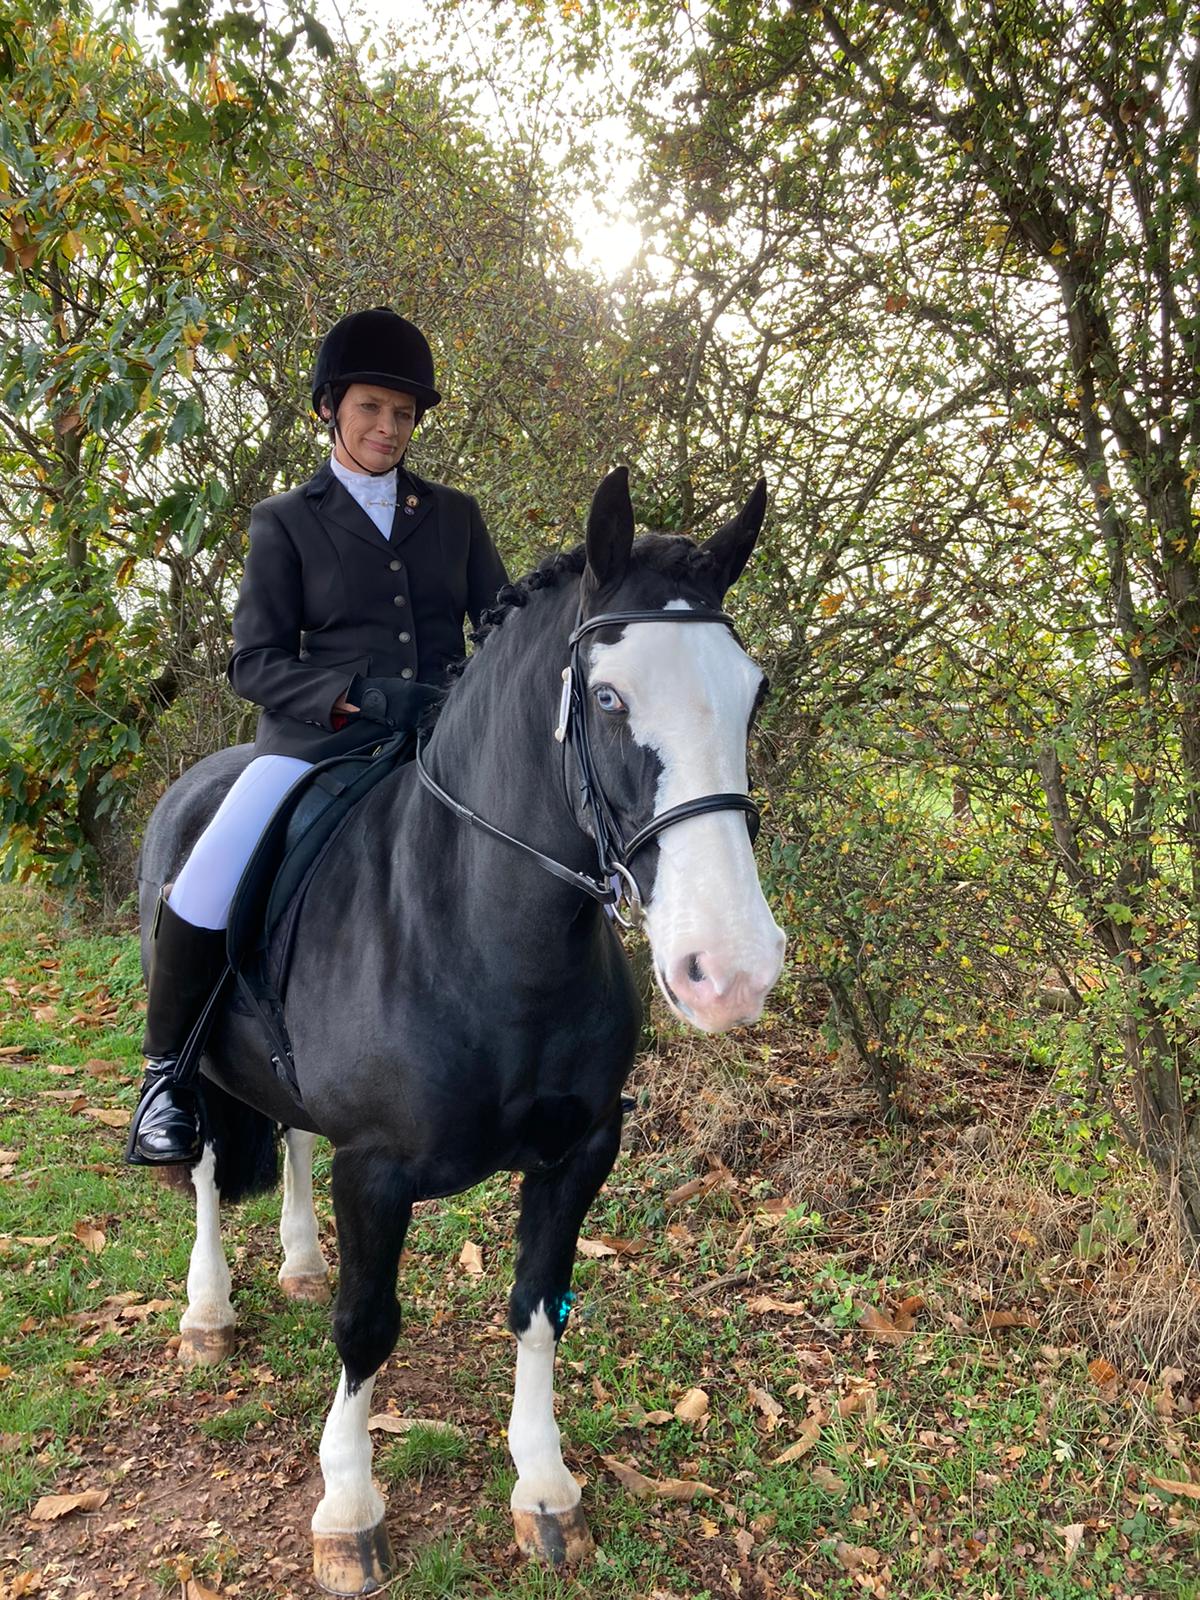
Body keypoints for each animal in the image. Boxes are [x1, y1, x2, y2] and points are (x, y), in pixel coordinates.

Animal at [137, 467, 786, 1594]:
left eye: (752, 692)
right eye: (607, 699)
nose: (731, 972)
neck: (486, 935)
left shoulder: (581, 1152)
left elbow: (536, 1301)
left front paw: (545, 1487)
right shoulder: (377, 1167)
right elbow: (368, 1325)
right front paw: (348, 1508)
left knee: (291, 1136)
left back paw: (299, 1263)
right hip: (205, 1067)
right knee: (212, 1164)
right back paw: (207, 1312)